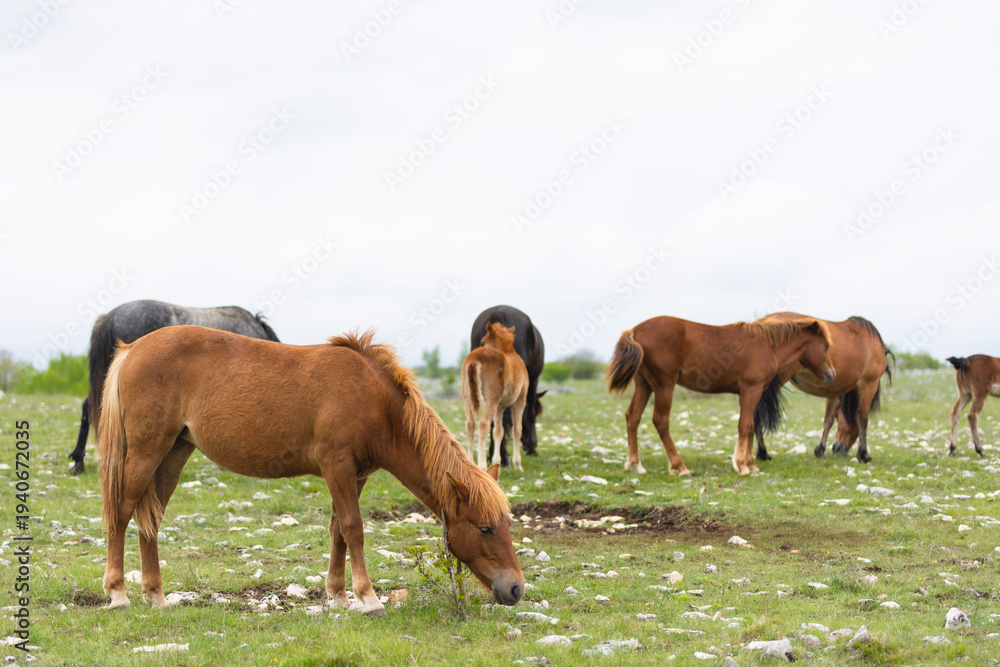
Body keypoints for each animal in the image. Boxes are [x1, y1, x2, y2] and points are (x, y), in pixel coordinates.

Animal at [98, 326, 523, 615]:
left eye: (506, 524)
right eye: (485, 528)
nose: (516, 589)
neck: (374, 399)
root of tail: (133, 349)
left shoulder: (356, 474)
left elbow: (338, 531)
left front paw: (338, 596)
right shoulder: (338, 465)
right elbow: (353, 528)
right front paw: (368, 598)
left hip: (173, 454)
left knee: (150, 520)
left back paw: (156, 596)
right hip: (146, 452)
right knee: (121, 513)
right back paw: (118, 593)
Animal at [462, 323, 530, 472]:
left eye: (483, 341)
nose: (481, 345)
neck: (509, 353)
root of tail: (475, 358)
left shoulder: (500, 407)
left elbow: (498, 431)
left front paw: (497, 461)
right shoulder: (520, 401)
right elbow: (517, 430)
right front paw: (518, 465)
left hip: (467, 399)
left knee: (470, 425)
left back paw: (471, 463)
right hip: (491, 401)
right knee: (483, 424)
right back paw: (482, 466)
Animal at [470, 306, 546, 466]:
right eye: (538, 413)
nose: (535, 442)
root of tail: (500, 312)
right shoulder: (531, 382)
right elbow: (528, 414)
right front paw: (531, 448)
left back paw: (496, 455)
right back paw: (504, 457)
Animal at [606, 315, 835, 476]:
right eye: (826, 346)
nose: (832, 375)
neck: (767, 345)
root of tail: (635, 330)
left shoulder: (746, 393)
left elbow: (750, 425)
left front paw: (751, 464)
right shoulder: (752, 389)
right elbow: (745, 425)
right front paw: (742, 465)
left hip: (644, 386)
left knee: (633, 417)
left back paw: (635, 465)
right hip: (664, 385)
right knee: (660, 421)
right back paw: (680, 467)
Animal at [752, 314, 893, 464]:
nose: (838, 448)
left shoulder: (835, 390)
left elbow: (828, 419)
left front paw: (820, 450)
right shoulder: (868, 385)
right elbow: (863, 418)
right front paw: (863, 454)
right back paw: (762, 452)